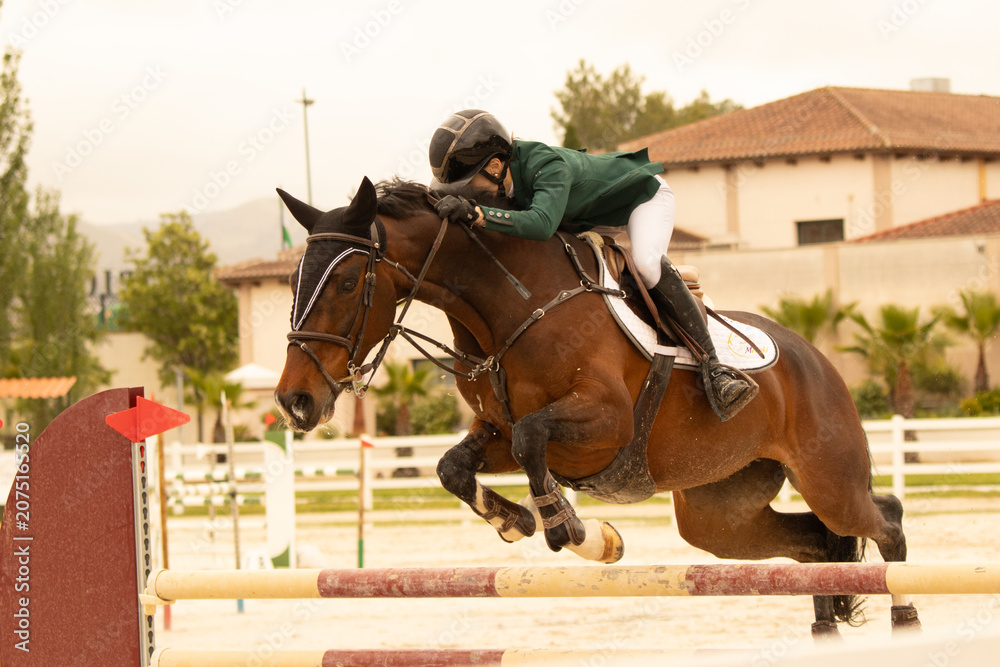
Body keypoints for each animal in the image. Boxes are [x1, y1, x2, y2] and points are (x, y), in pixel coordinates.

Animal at [273, 176, 920, 639]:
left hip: (827, 477)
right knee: (813, 543)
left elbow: (533, 440)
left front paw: (579, 533)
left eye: (349, 282)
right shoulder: (498, 430)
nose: (293, 401)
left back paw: (906, 620)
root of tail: (816, 358)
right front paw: (516, 520)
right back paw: (826, 626)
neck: (513, 304)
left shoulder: (605, 424)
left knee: (883, 517)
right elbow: (454, 466)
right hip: (719, 512)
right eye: (293, 280)